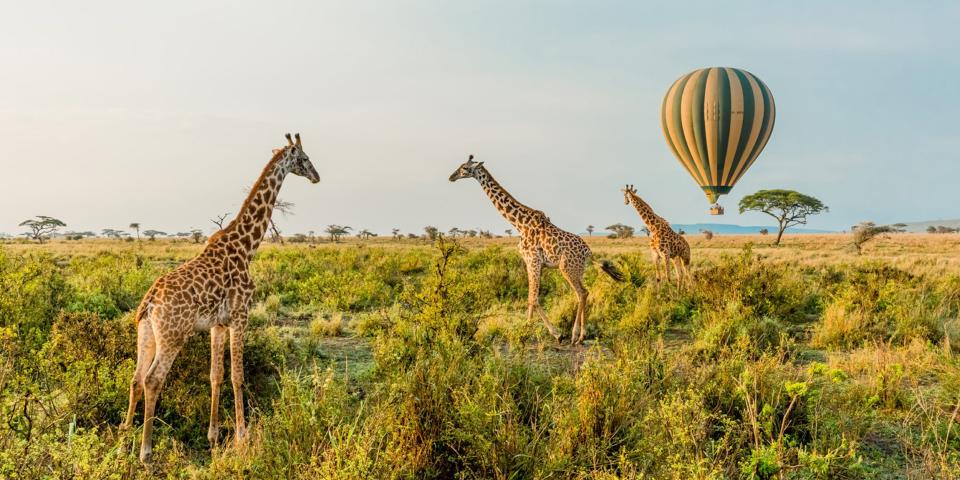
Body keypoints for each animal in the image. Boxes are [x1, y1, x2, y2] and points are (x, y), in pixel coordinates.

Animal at [120, 133, 320, 464]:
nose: (317, 176)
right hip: (173, 336)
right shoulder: (241, 316)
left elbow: (216, 375)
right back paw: (145, 453)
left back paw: (124, 437)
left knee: (136, 379)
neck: (247, 247)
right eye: (304, 159)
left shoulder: (218, 324)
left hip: (146, 333)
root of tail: (149, 303)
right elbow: (238, 376)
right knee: (152, 380)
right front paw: (242, 436)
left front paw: (213, 436)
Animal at [448, 156, 624, 346]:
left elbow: (533, 298)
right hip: (579, 270)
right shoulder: (532, 263)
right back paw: (582, 336)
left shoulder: (533, 260)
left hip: (567, 268)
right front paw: (526, 328)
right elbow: (531, 298)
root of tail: (588, 252)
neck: (519, 224)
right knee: (584, 293)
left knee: (582, 293)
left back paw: (574, 335)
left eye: (465, 168)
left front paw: (553, 334)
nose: (451, 177)